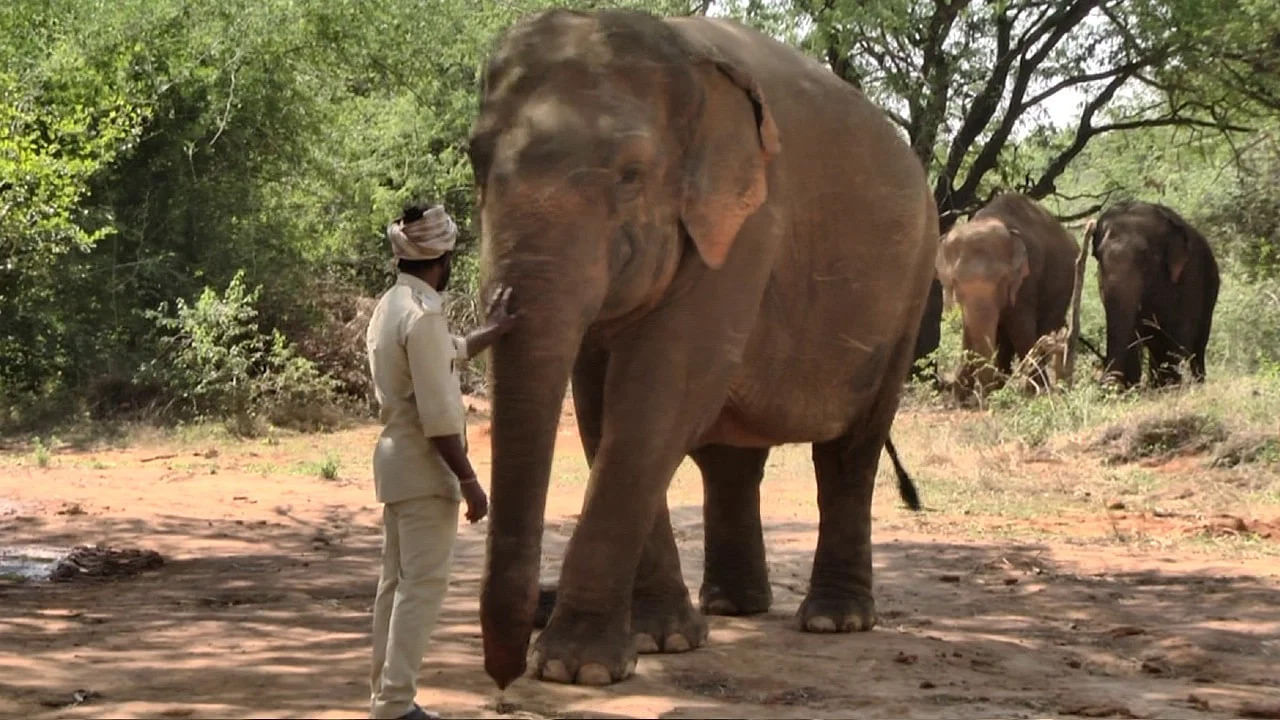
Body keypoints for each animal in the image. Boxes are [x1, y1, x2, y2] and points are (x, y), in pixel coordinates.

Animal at [465, 8, 936, 686]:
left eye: (631, 175)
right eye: (474, 159)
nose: (503, 679)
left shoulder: (747, 227)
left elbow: (656, 397)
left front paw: (577, 670)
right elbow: (603, 407)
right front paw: (657, 641)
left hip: (911, 289)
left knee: (850, 452)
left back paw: (834, 621)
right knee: (730, 461)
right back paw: (732, 608)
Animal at [931, 193, 1080, 389]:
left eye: (1003, 279)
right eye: (955, 281)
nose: (952, 383)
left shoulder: (1027, 279)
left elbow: (1021, 329)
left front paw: (1036, 389)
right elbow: (970, 327)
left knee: (1045, 327)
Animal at [1090, 198, 1218, 384]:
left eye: (1144, 256)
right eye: (1098, 256)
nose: (1102, 383)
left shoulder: (1190, 276)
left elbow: (1178, 335)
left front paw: (1169, 385)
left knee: (1197, 346)